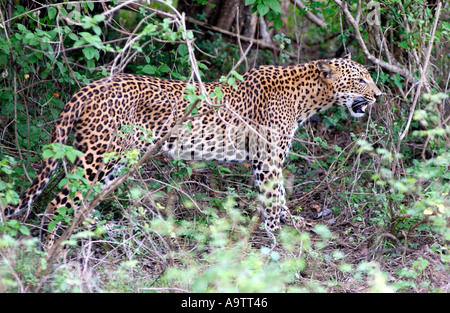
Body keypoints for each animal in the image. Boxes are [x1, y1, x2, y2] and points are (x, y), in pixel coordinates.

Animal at [6, 53, 380, 240]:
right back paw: (55, 254)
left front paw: (291, 228)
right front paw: (280, 244)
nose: (378, 95)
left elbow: (278, 200)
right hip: (96, 157)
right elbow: (273, 202)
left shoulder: (264, 161)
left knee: (83, 202)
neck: (309, 98)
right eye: (360, 78)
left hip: (116, 160)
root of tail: (89, 87)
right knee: (56, 204)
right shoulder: (268, 159)